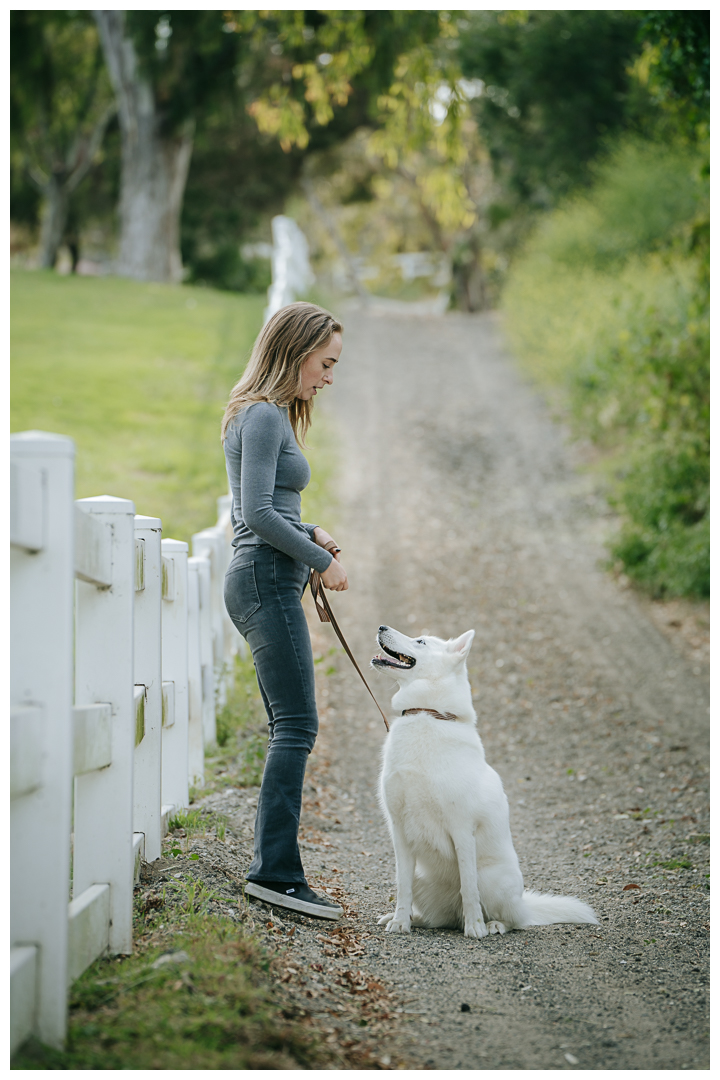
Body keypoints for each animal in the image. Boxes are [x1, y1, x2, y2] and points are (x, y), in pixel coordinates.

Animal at [371, 626, 595, 937]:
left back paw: (492, 924)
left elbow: (468, 886)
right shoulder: (400, 831)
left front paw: (475, 927)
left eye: (421, 641)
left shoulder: (462, 829)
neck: (428, 714)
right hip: (421, 877)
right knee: (436, 914)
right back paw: (417, 919)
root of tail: (524, 905)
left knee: (512, 919)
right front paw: (400, 921)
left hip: (491, 878)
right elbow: (401, 886)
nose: (381, 627)